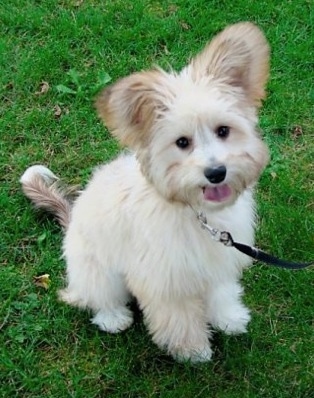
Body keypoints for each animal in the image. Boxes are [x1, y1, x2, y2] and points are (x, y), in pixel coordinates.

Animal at [20, 22, 270, 364]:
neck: (194, 211)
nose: (216, 173)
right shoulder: (165, 280)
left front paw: (229, 318)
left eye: (223, 130)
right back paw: (113, 318)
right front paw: (193, 351)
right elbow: (180, 319)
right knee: (96, 297)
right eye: (182, 142)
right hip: (97, 271)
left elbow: (220, 292)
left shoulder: (215, 261)